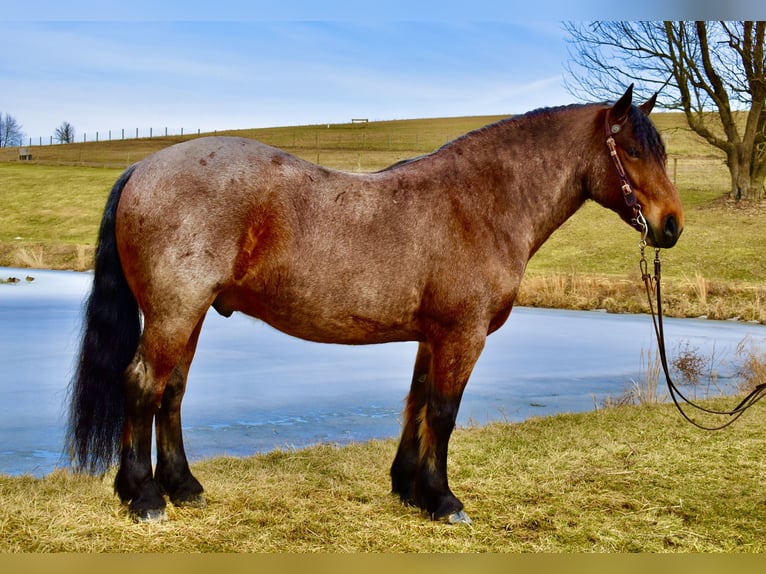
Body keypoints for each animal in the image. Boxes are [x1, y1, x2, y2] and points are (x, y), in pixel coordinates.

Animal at [66, 85, 683, 523]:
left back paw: (183, 488)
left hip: (187, 317)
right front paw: (444, 501)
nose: (672, 225)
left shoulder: (434, 336)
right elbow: (443, 413)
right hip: (174, 313)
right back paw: (145, 498)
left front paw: (409, 489)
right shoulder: (462, 335)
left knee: (170, 392)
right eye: (632, 150)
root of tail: (144, 168)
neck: (479, 203)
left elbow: (417, 405)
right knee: (142, 386)